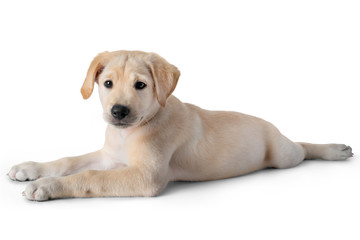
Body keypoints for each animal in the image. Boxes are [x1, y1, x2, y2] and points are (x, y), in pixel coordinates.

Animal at [8, 50, 354, 201]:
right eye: (107, 84)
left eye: (141, 85)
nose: (118, 112)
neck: (129, 132)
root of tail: (273, 127)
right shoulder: (109, 156)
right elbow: (70, 161)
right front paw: (30, 168)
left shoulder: (146, 176)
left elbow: (89, 176)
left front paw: (47, 186)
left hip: (283, 156)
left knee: (302, 148)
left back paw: (334, 149)